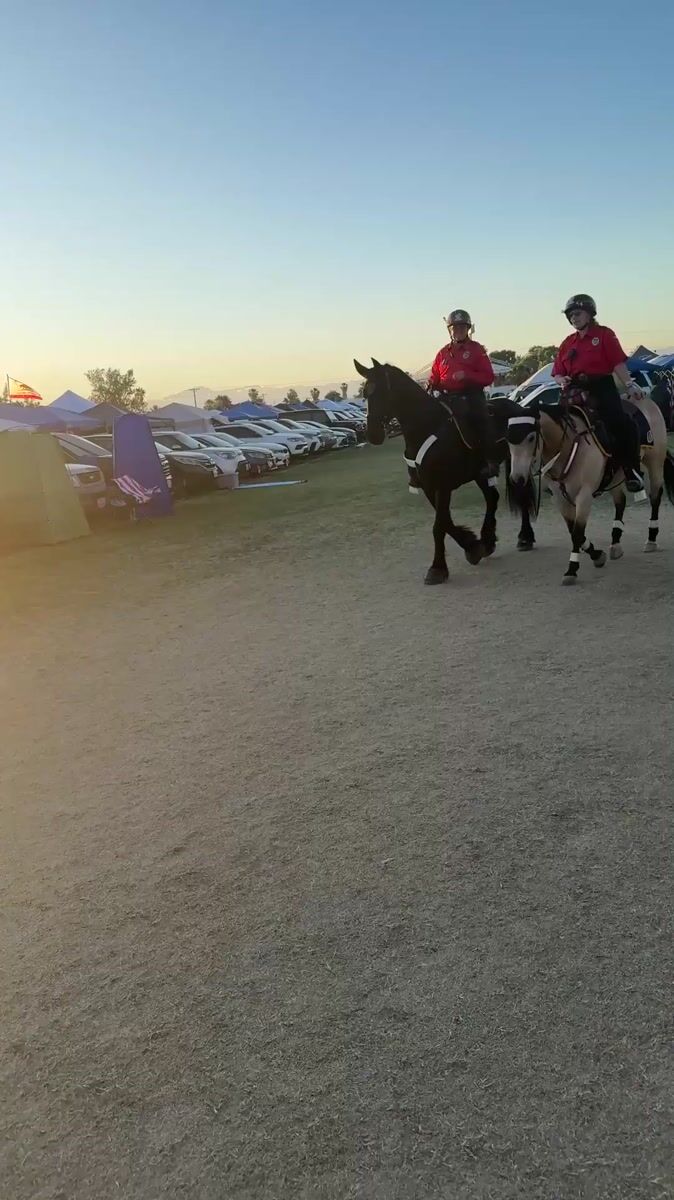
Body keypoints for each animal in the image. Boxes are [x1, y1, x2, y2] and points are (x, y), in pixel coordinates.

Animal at [354, 358, 536, 585]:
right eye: (365, 394)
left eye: (381, 392)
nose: (373, 434)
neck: (428, 428)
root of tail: (517, 406)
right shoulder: (429, 487)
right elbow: (446, 522)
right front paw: (473, 546)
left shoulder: (442, 486)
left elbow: (438, 526)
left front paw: (437, 568)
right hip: (480, 474)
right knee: (492, 498)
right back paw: (488, 540)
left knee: (520, 494)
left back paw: (525, 537)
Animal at [507, 390, 674, 585]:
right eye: (508, 440)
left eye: (531, 437)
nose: (517, 478)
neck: (569, 447)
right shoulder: (560, 499)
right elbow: (573, 531)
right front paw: (597, 555)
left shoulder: (584, 496)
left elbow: (577, 533)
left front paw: (572, 569)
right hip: (615, 475)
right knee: (620, 502)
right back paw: (615, 542)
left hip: (655, 462)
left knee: (655, 497)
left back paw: (651, 539)